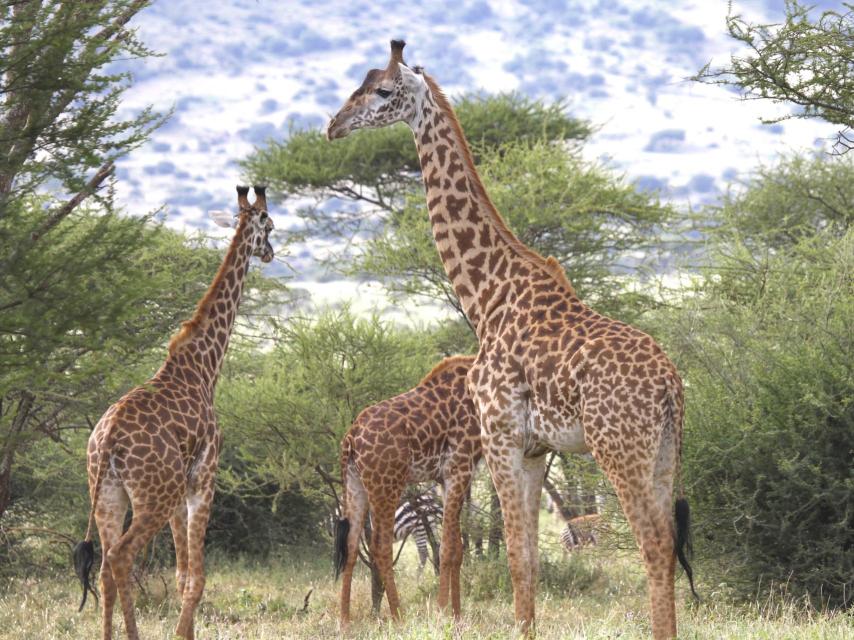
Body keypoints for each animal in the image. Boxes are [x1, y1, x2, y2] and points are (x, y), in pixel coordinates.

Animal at [73, 186, 276, 640]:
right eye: (269, 226)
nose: (271, 252)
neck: (204, 367)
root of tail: (107, 439)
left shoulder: (181, 491)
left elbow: (183, 575)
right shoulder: (204, 477)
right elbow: (197, 578)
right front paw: (183, 634)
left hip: (109, 493)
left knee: (105, 566)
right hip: (153, 496)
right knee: (121, 557)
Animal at [334, 358, 482, 628]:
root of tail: (350, 438)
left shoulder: (446, 477)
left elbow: (456, 548)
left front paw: (457, 617)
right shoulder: (459, 467)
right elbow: (447, 548)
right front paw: (441, 614)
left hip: (355, 484)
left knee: (350, 544)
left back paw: (345, 621)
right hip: (387, 485)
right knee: (380, 546)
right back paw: (398, 617)